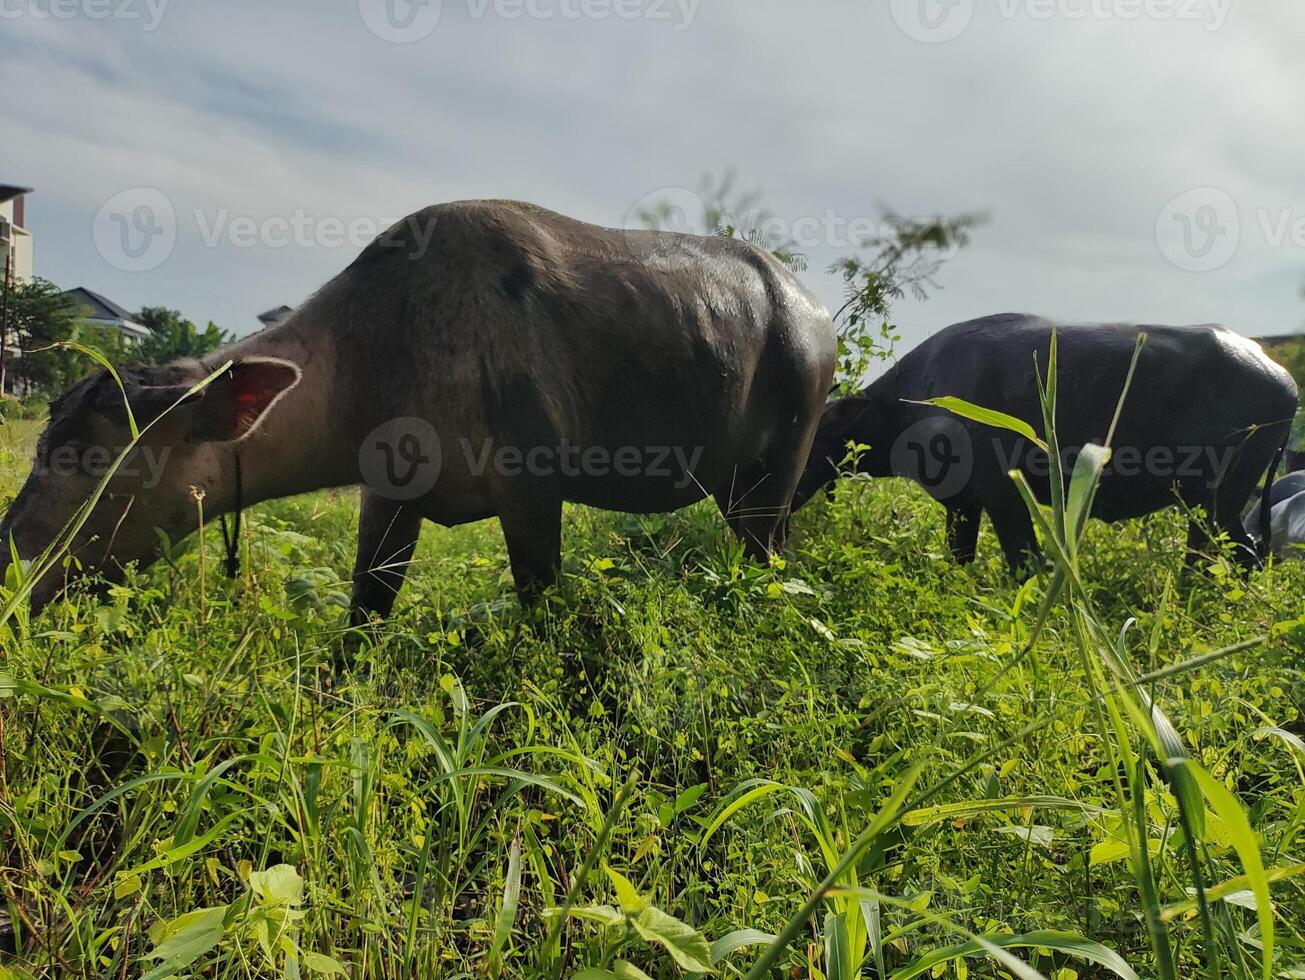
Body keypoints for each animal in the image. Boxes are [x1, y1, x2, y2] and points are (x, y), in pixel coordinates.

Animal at [0, 199, 835, 621]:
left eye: (88, 457)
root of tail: (810, 310)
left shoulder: (532, 494)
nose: (14, 561)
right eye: (44, 444)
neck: (378, 351)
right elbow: (365, 611)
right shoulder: (389, 498)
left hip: (775, 478)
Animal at [788, 314, 1299, 574]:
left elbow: (1023, 559)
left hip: (1219, 501)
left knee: (1238, 554)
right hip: (1207, 506)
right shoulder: (963, 503)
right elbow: (961, 555)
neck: (920, 400)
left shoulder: (1003, 493)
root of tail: (1283, 378)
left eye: (811, 433)